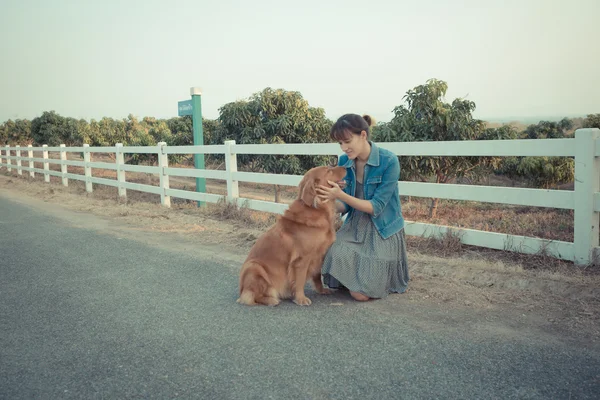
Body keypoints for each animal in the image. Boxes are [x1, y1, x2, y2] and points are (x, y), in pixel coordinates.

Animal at [236, 166, 344, 306]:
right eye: (328, 170)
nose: (347, 167)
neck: (316, 208)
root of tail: (241, 289)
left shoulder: (319, 255)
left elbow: (317, 276)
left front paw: (321, 290)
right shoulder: (302, 259)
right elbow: (300, 281)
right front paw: (301, 298)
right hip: (254, 267)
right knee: (252, 296)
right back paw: (271, 299)